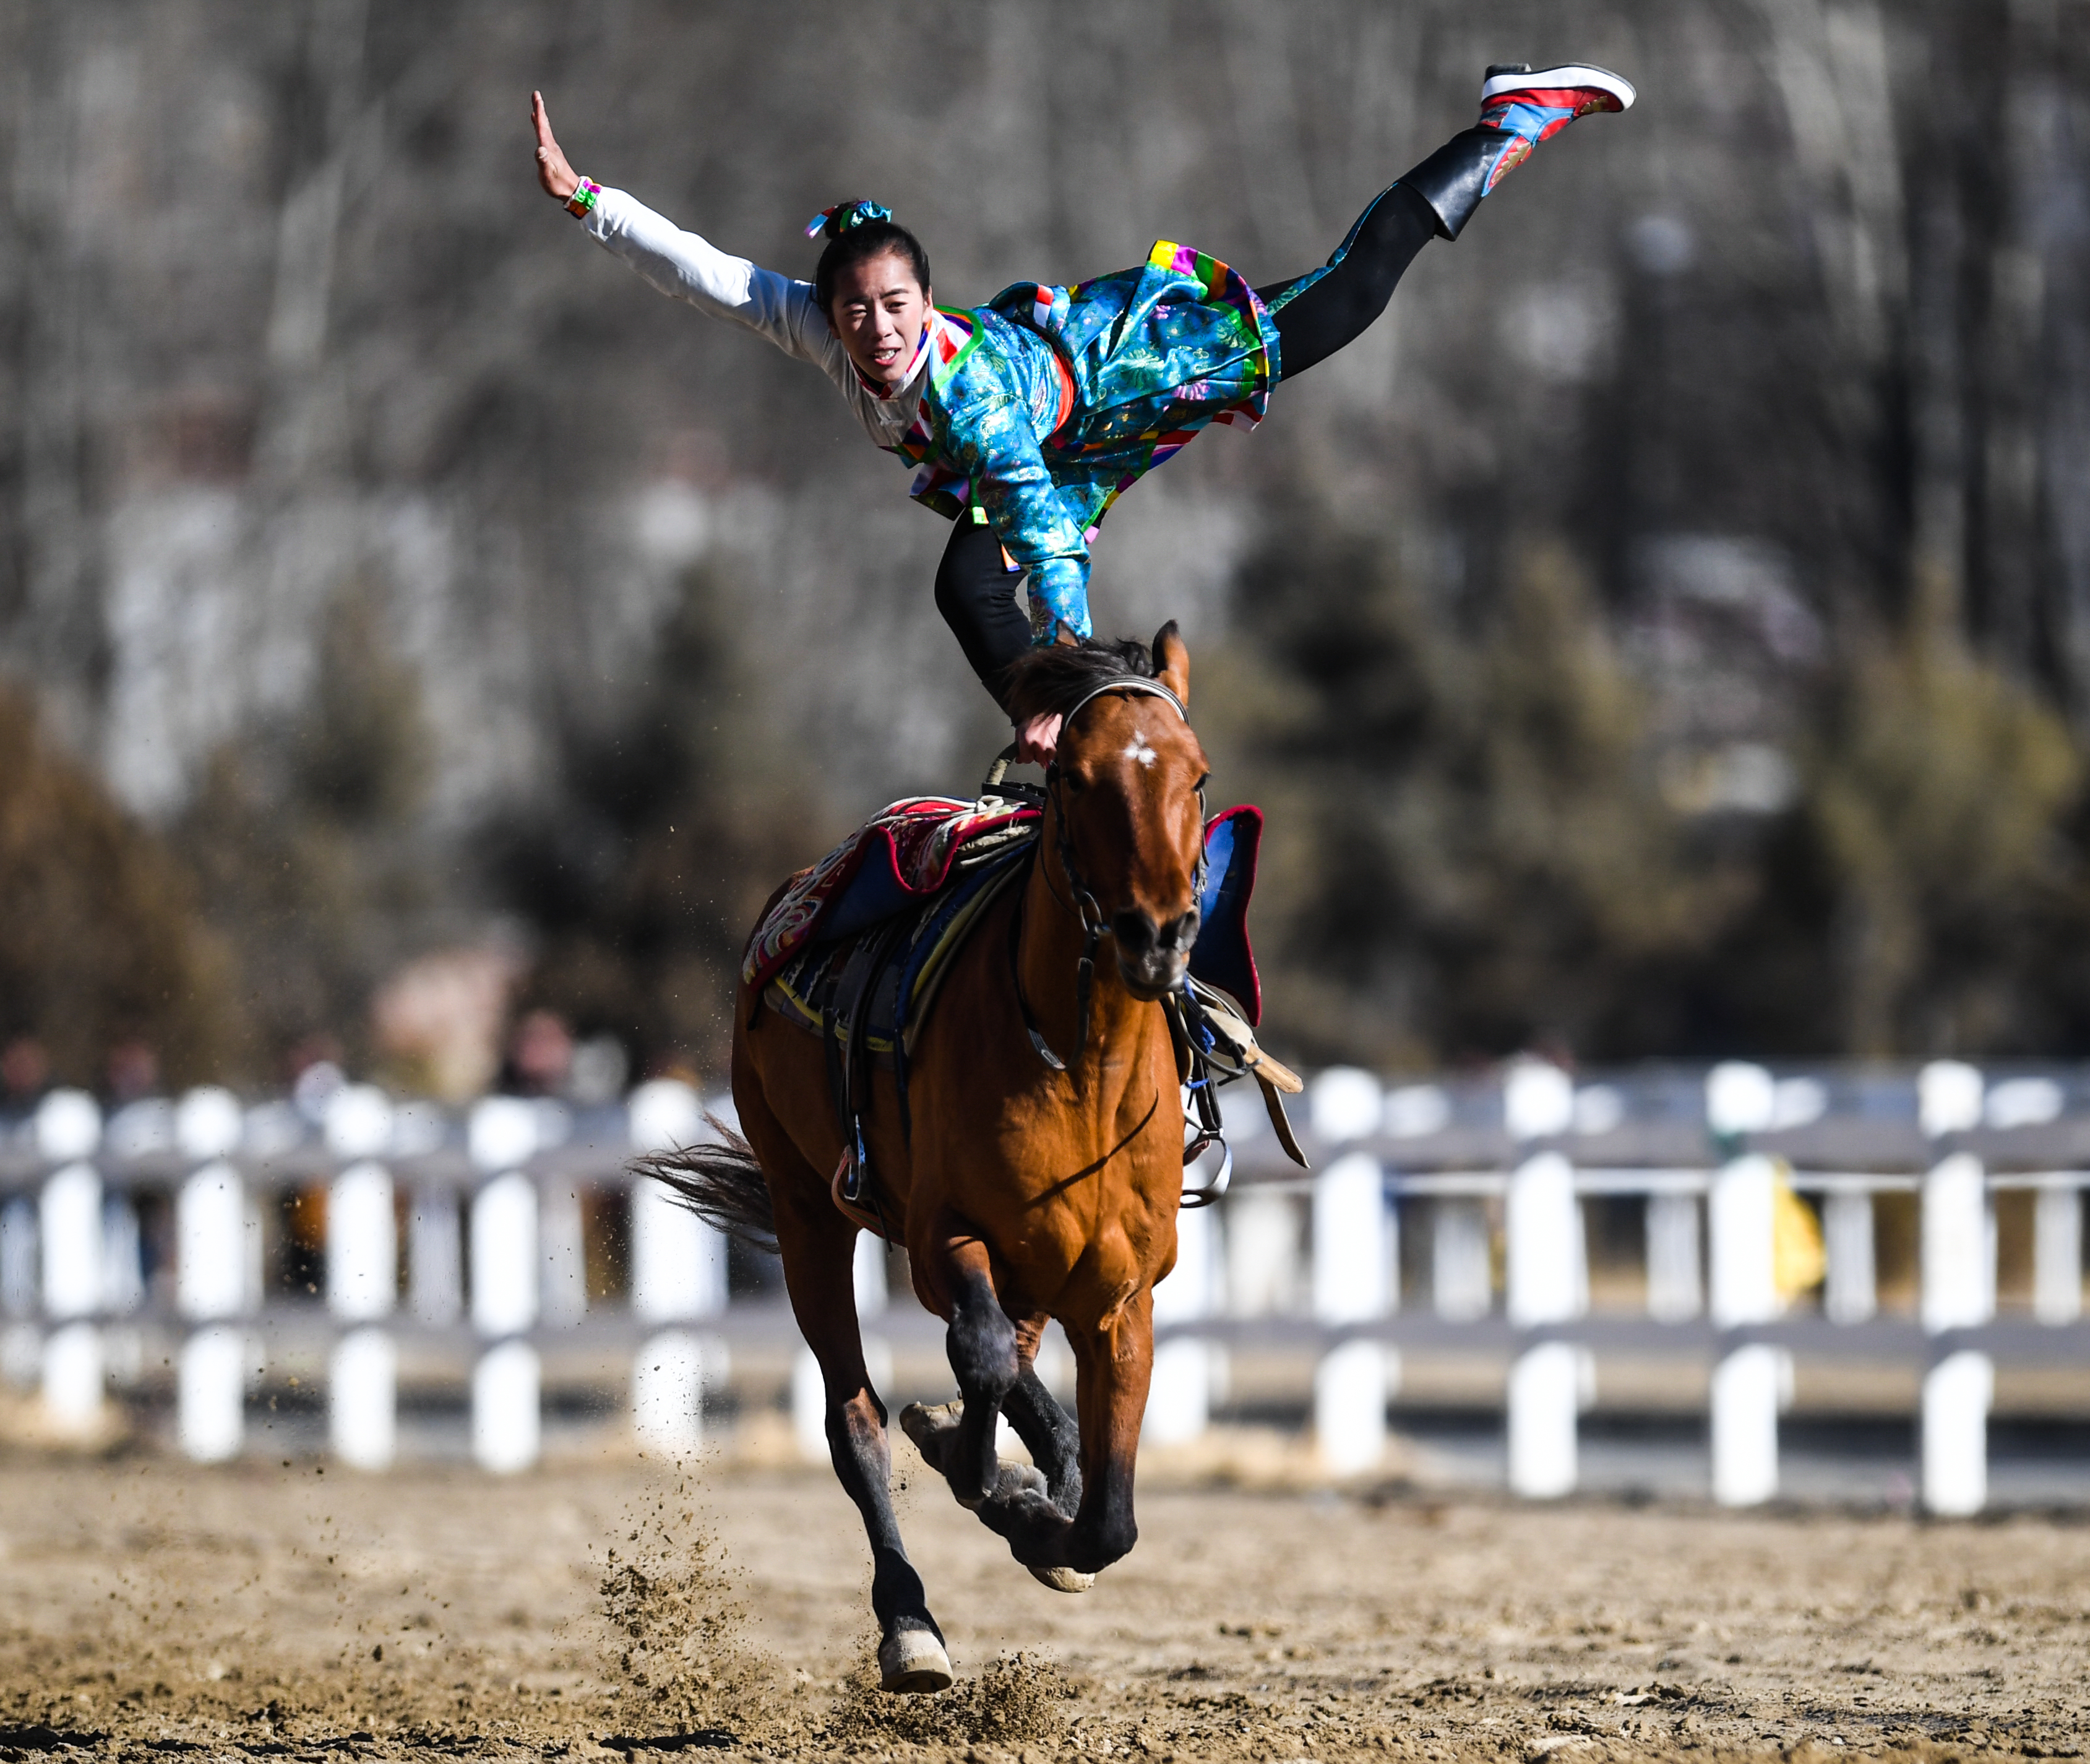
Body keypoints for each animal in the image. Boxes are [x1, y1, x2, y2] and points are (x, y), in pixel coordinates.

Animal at [648, 627, 1212, 1689]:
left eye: (1195, 777)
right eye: (1073, 777)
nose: (1155, 934)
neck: (1081, 1066)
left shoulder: (1121, 1295)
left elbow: (1108, 1518)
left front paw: (1037, 1507)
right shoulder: (942, 1232)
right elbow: (978, 1356)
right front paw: (992, 1481)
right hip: (808, 1211)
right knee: (859, 1415)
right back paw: (908, 1615)